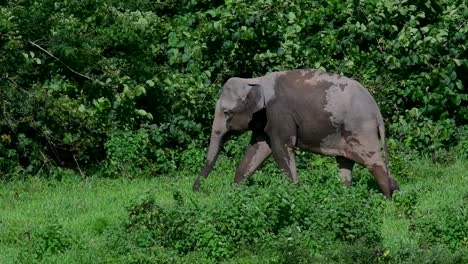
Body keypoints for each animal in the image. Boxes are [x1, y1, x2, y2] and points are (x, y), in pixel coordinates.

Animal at [192, 69, 400, 199]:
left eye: (227, 113)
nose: (195, 191)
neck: (255, 80)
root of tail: (376, 110)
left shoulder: (278, 114)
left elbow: (280, 149)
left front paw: (295, 194)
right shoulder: (264, 120)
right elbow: (257, 150)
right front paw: (235, 192)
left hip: (360, 129)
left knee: (374, 163)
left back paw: (388, 201)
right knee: (345, 164)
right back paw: (348, 197)